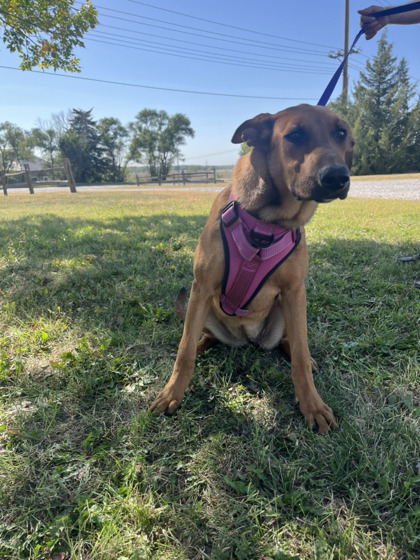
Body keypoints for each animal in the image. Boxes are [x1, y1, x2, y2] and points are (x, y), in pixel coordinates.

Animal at [151, 105, 354, 434]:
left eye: (341, 133)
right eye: (295, 134)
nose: (338, 177)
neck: (267, 223)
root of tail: (247, 338)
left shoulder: (295, 292)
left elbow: (300, 355)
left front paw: (312, 405)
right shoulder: (201, 287)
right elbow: (183, 352)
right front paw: (172, 393)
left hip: (285, 312)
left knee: (290, 344)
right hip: (203, 309)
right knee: (200, 337)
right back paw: (203, 343)